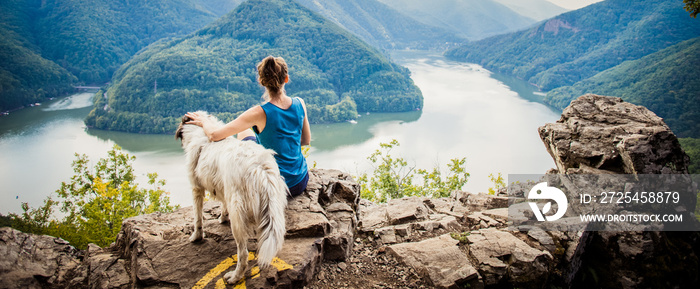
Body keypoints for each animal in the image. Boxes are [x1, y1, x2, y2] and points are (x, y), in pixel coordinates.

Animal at [176, 111, 288, 284]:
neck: (203, 134)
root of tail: (259, 167)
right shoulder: (223, 188)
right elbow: (222, 205)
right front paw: (222, 217)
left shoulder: (197, 188)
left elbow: (197, 218)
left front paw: (196, 237)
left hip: (238, 213)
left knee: (243, 253)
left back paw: (234, 277)